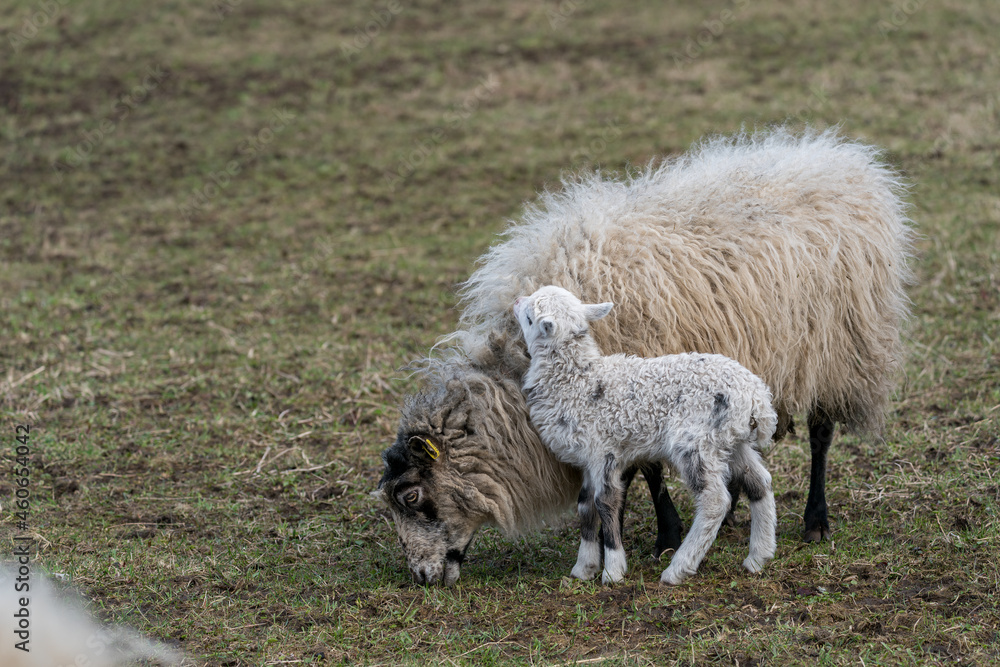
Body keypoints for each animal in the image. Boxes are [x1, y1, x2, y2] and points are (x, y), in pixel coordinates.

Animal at [513, 285, 778, 584]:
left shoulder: (605, 450)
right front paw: (584, 568)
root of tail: (757, 396)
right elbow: (585, 506)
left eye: (529, 316)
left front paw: (613, 570)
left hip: (697, 441)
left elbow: (605, 503)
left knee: (715, 501)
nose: (517, 300)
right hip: (732, 440)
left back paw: (678, 568)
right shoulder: (588, 458)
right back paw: (758, 557)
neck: (578, 380)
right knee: (759, 483)